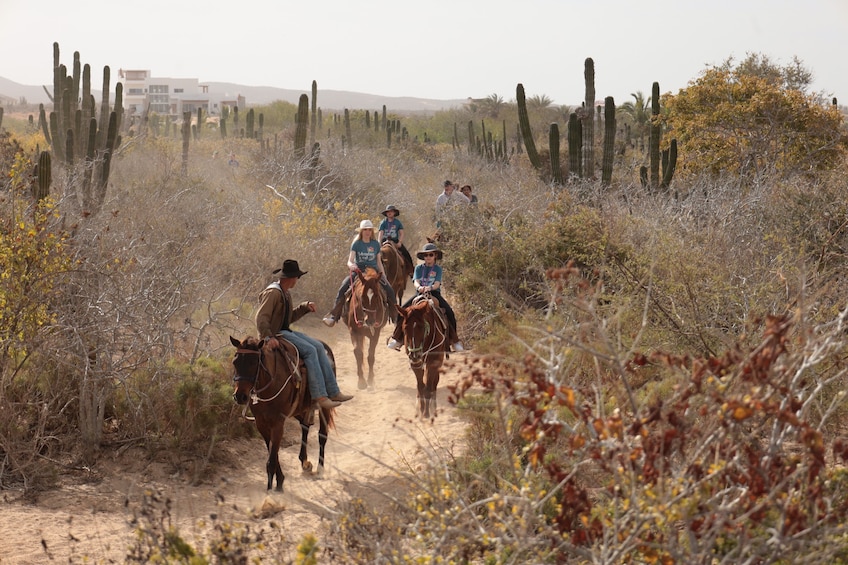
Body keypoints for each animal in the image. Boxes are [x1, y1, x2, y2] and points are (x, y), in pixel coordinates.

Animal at [234, 334, 340, 490]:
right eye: (235, 362)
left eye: (254, 363)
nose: (240, 396)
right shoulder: (261, 423)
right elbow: (272, 452)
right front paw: (279, 480)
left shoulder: (278, 423)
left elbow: (272, 459)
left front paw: (273, 489)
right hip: (300, 409)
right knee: (305, 426)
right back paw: (305, 462)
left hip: (324, 407)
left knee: (322, 435)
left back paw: (320, 469)